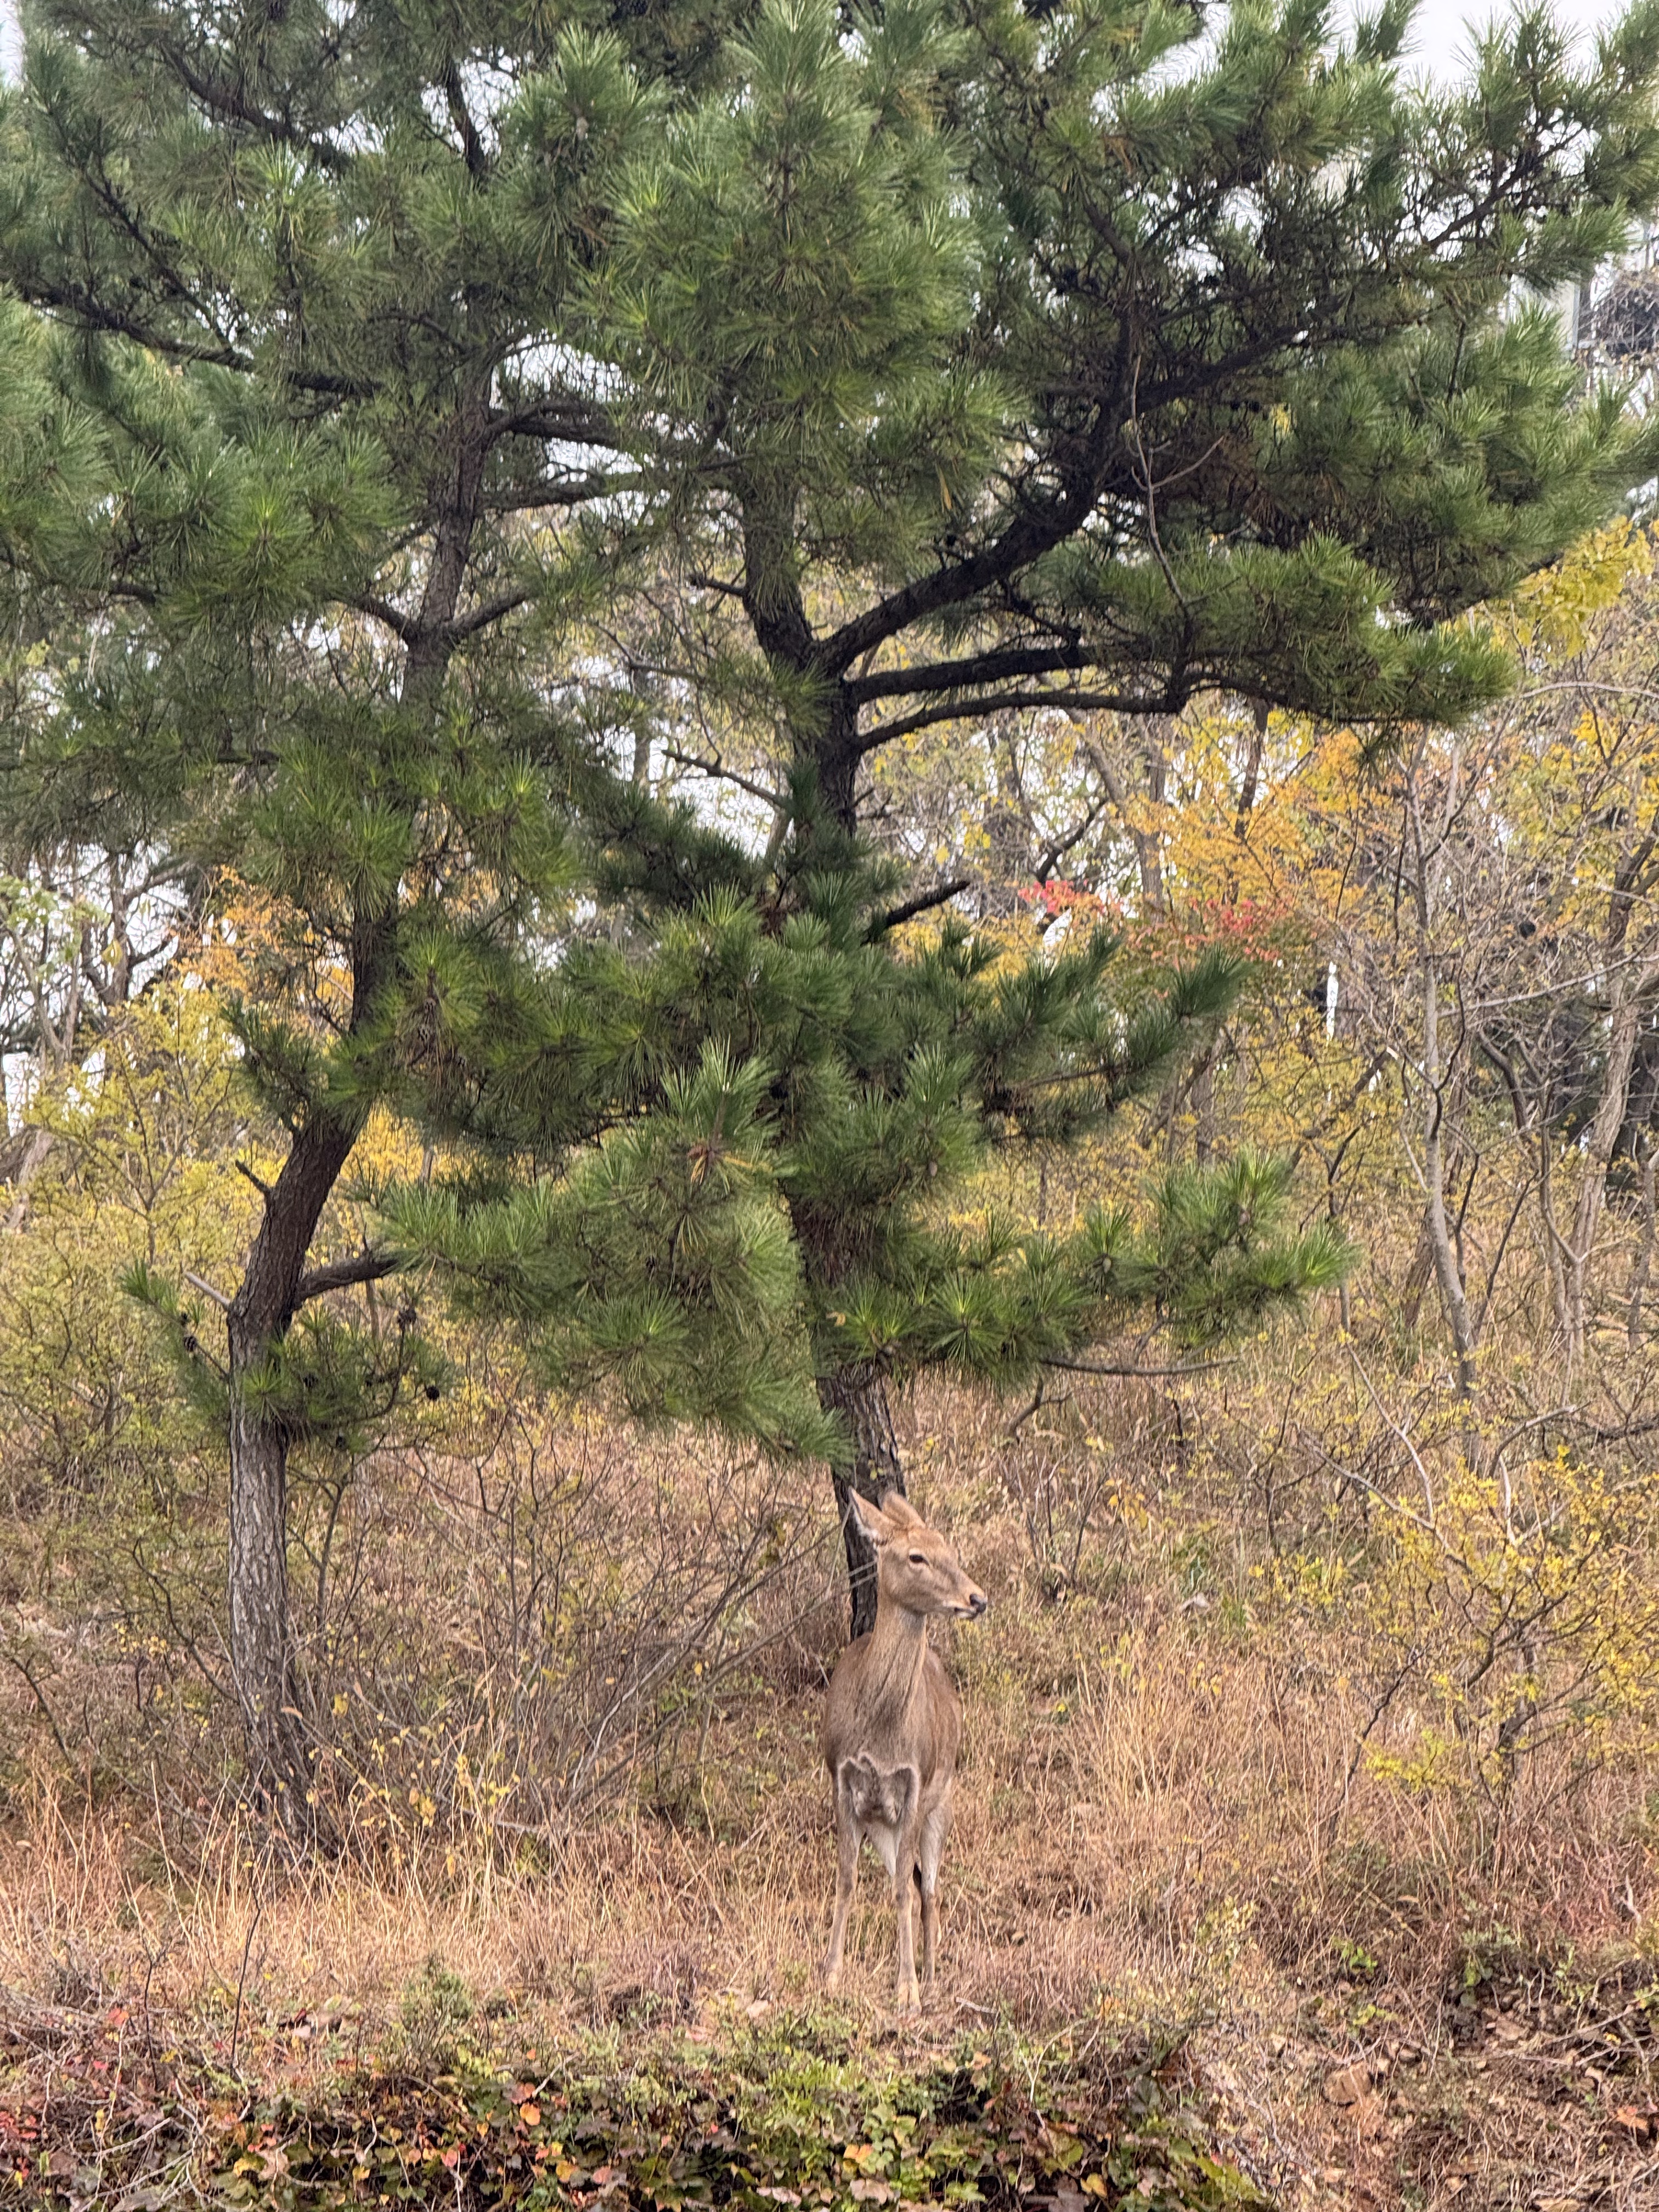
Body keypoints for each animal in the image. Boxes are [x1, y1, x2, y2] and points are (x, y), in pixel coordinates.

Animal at [818, 1495, 986, 2017]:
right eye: (917, 1556)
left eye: (951, 1550)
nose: (978, 1599)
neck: (880, 1733)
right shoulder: (841, 1780)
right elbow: (847, 1878)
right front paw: (830, 1975)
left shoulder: (915, 1785)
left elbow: (901, 1893)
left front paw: (906, 1989)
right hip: (884, 1827)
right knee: (909, 1881)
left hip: (941, 1808)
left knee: (928, 1889)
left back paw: (931, 1976)